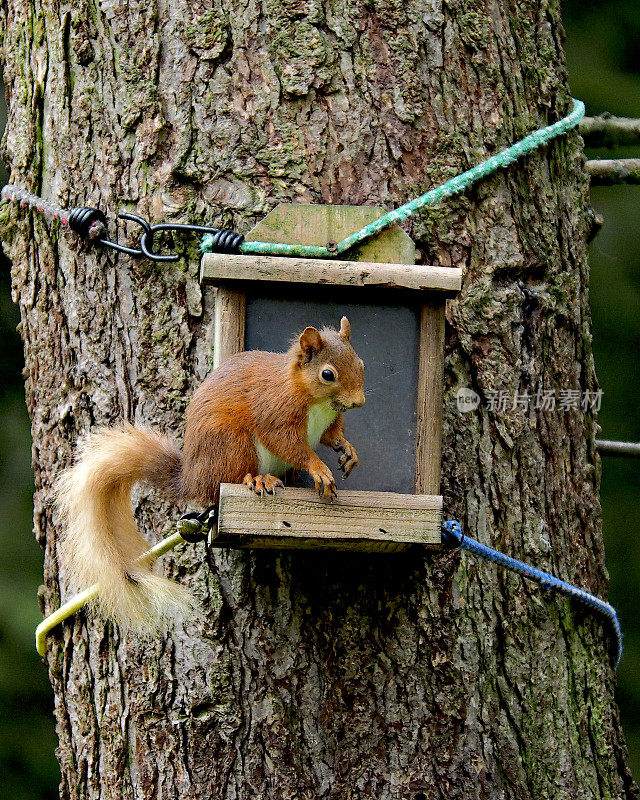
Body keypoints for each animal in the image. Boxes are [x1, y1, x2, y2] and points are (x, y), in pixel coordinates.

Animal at [55, 316, 364, 636]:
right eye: (327, 374)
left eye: (361, 363)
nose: (359, 402)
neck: (315, 400)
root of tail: (192, 477)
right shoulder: (275, 411)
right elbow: (290, 445)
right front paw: (319, 468)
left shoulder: (326, 421)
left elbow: (331, 436)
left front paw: (348, 450)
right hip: (232, 444)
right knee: (229, 479)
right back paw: (257, 480)